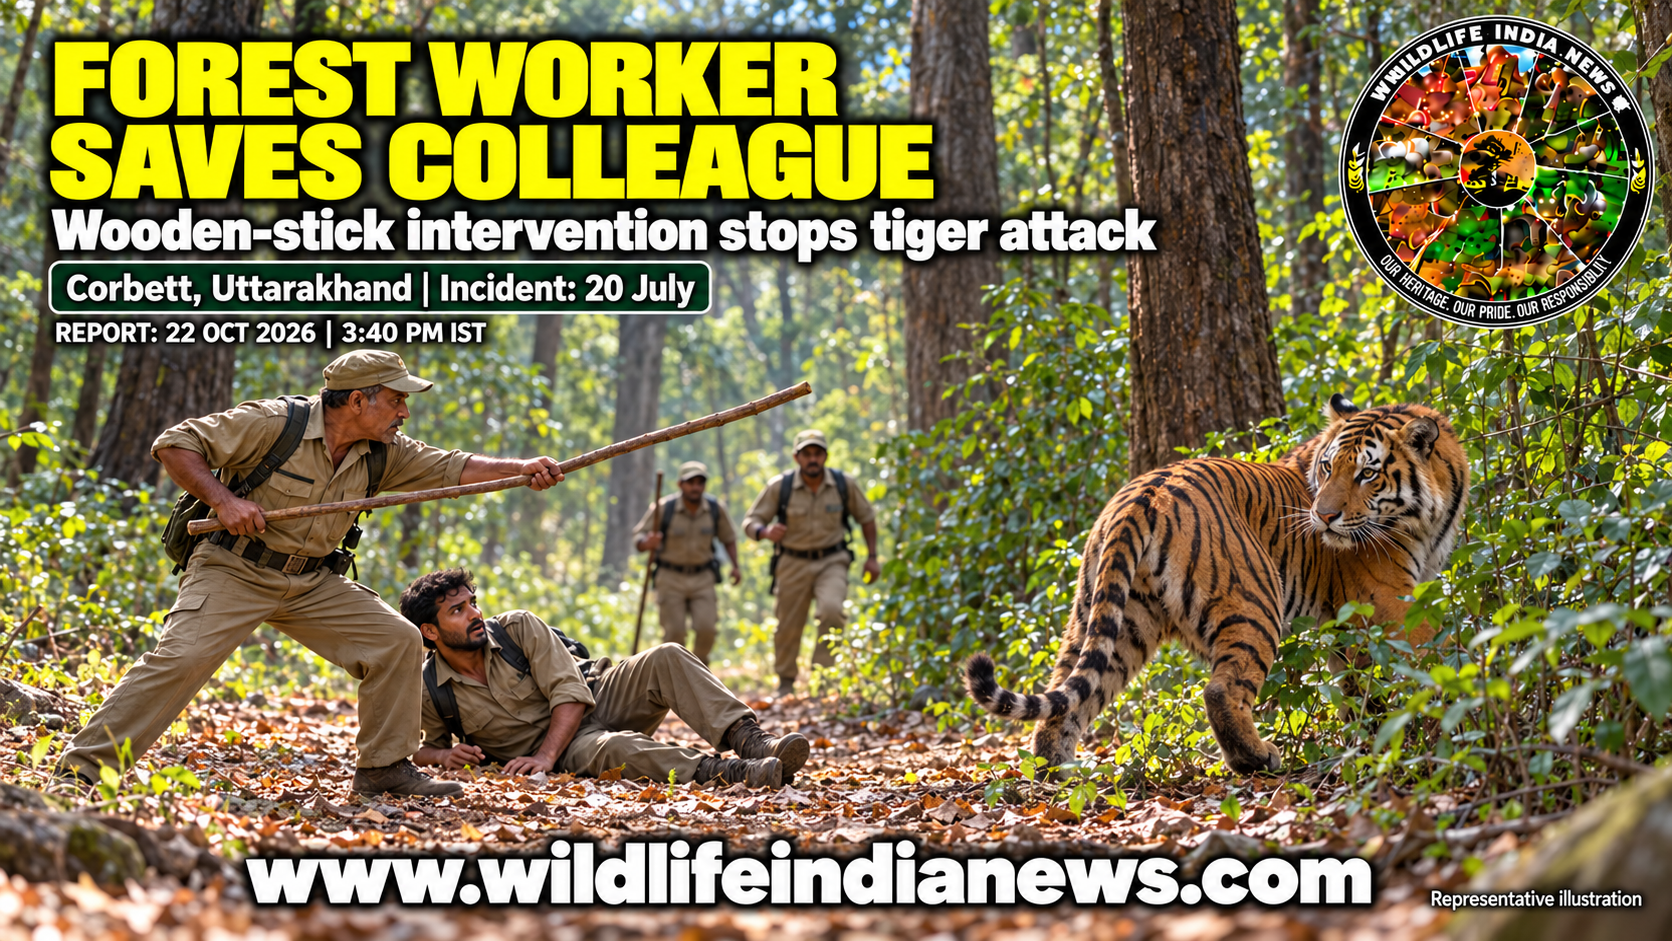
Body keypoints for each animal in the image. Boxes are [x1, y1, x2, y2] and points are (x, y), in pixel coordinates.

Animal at [963, 395, 1468, 774]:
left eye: (1367, 472)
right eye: (1328, 468)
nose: (1323, 516)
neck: (1433, 512)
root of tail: (1143, 493)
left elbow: (1355, 687)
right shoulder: (1390, 603)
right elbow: (1432, 660)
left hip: (1112, 618)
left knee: (1065, 696)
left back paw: (1060, 769)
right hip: (1255, 603)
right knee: (1221, 690)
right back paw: (1258, 758)